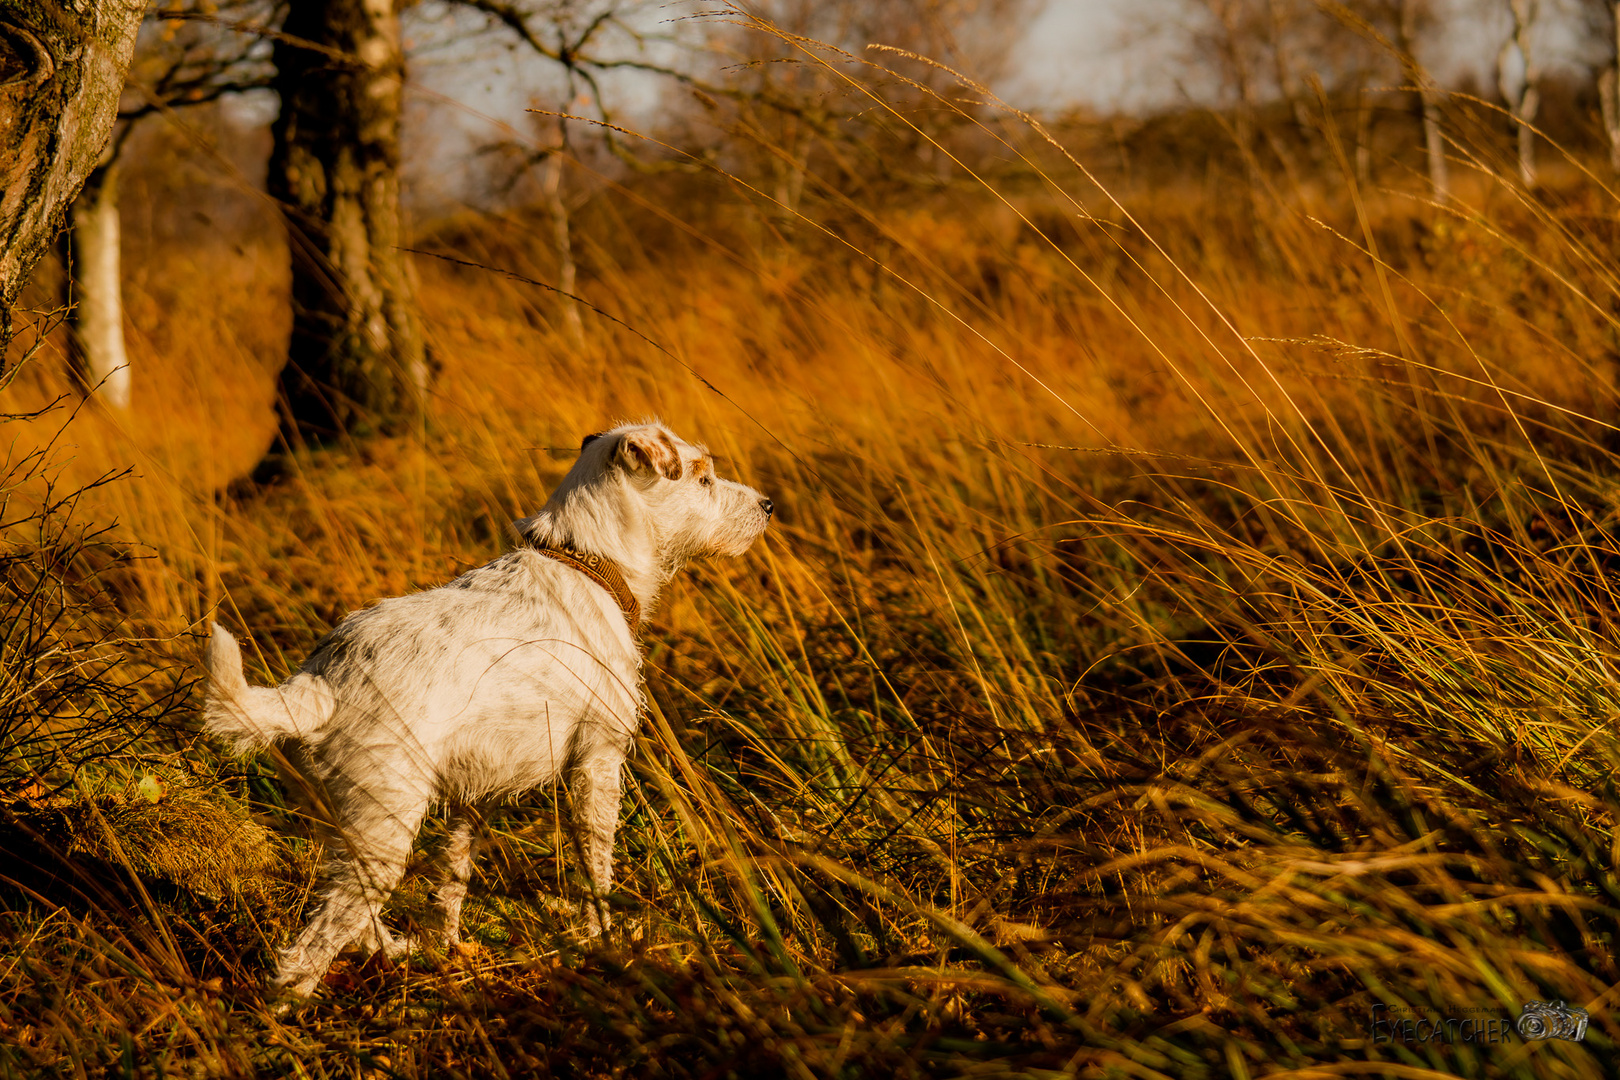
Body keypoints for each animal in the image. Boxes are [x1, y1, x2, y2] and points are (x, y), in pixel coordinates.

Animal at [205, 420, 774, 997]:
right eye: (702, 478)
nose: (768, 505)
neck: (588, 562)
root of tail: (321, 682)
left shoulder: (476, 794)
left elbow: (452, 879)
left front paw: (449, 949)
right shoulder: (598, 761)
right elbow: (597, 867)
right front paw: (605, 941)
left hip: (343, 828)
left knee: (355, 917)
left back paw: (395, 951)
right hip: (384, 825)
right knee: (311, 946)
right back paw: (292, 1006)